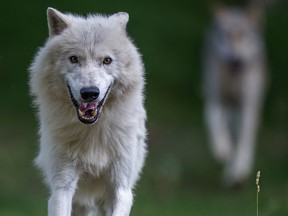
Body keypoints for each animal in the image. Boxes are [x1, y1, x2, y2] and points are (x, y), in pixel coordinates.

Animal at [29, 7, 147, 215]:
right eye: (74, 59)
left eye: (107, 60)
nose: (90, 93)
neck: (93, 131)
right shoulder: (62, 187)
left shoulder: (121, 188)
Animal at [204, 5, 266, 187]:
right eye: (227, 35)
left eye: (244, 36)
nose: (235, 60)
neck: (233, 82)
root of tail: (236, 9)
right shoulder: (216, 99)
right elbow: (213, 122)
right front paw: (222, 150)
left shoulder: (247, 107)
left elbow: (243, 142)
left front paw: (238, 172)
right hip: (228, 108)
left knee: (242, 137)